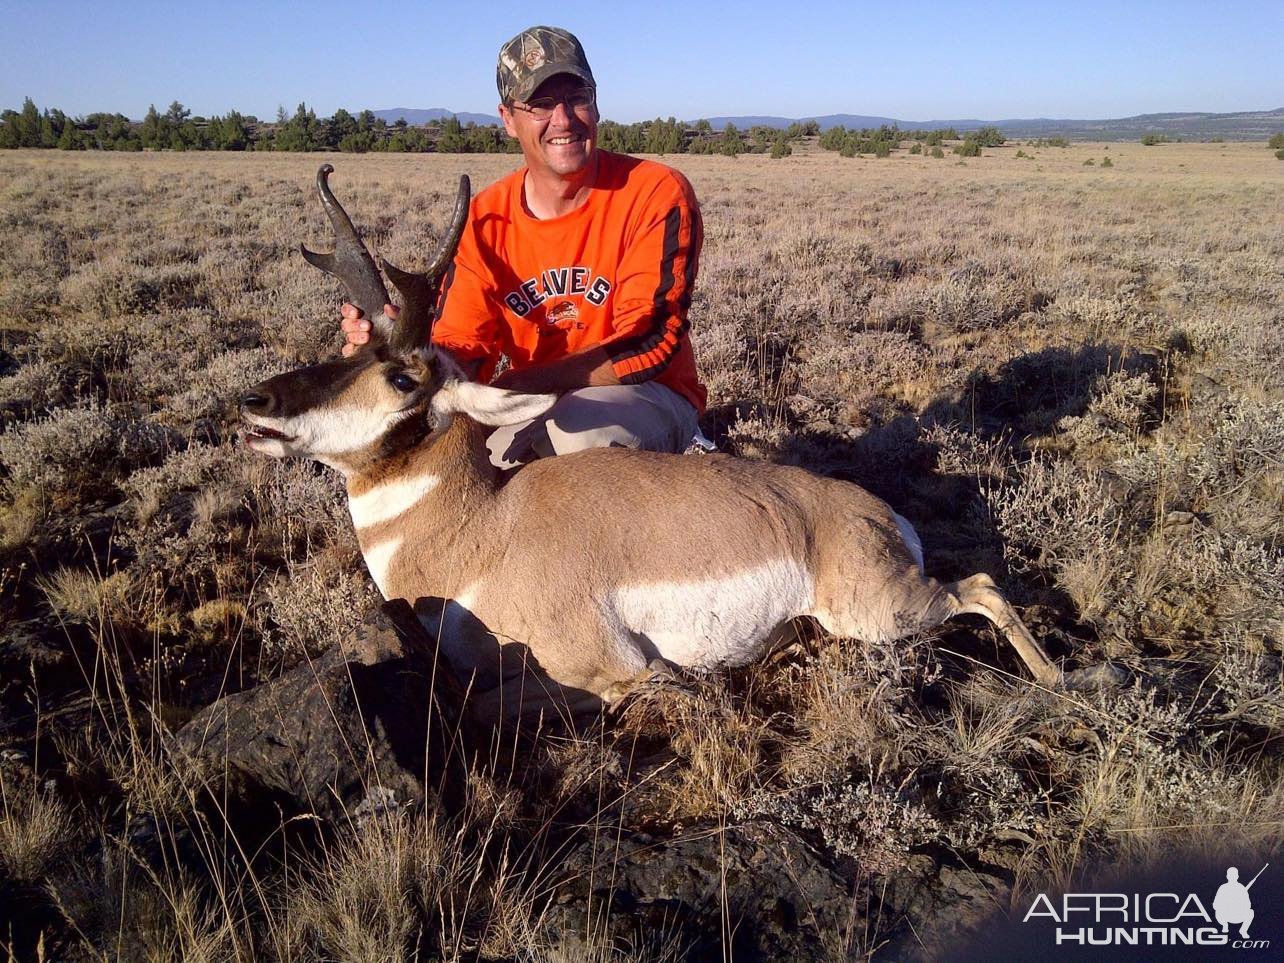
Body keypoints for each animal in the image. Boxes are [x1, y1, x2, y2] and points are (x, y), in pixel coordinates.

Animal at [241, 168, 1124, 724]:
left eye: (399, 377)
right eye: (347, 349)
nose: (253, 402)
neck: (484, 530)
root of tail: (876, 515)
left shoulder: (610, 668)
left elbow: (483, 702)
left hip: (879, 611)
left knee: (981, 585)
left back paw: (1079, 678)